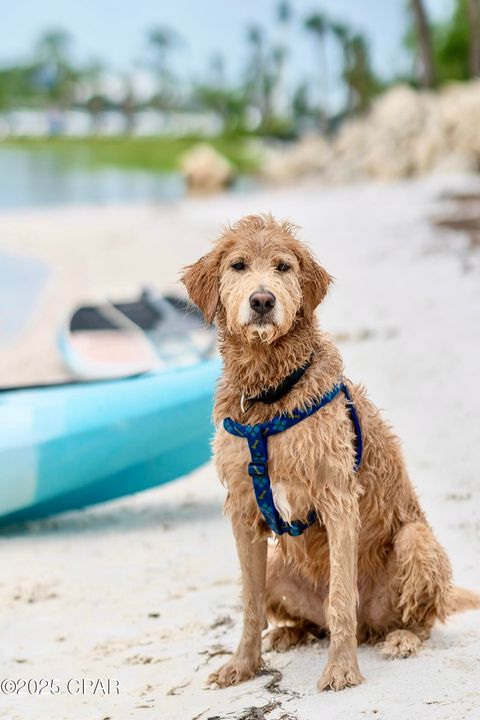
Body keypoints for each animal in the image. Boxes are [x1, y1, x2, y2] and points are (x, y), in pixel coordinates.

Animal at [182, 215, 478, 692]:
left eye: (283, 266)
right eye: (238, 265)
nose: (262, 300)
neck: (271, 397)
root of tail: (372, 626)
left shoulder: (338, 499)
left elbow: (341, 597)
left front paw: (341, 669)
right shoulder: (244, 511)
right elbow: (249, 605)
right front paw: (243, 665)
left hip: (416, 541)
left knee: (410, 618)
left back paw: (402, 638)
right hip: (279, 565)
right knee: (308, 619)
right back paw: (290, 633)